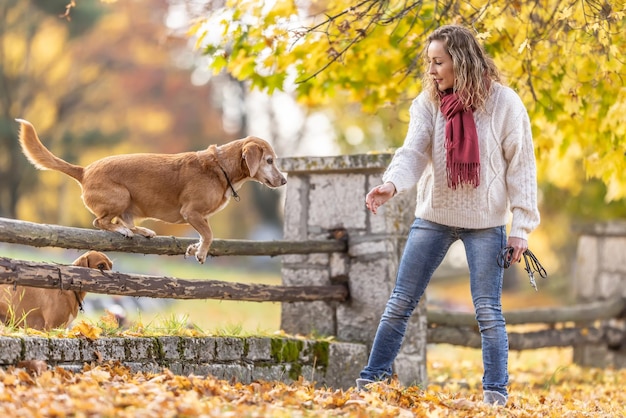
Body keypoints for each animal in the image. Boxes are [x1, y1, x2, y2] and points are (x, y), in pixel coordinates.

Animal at [15, 118, 286, 262]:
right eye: (270, 160)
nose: (284, 181)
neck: (222, 167)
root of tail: (84, 170)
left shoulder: (200, 217)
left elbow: (204, 234)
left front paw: (194, 248)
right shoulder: (192, 213)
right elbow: (209, 235)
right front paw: (201, 253)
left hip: (130, 206)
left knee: (123, 221)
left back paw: (142, 230)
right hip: (121, 196)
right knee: (101, 222)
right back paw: (124, 230)